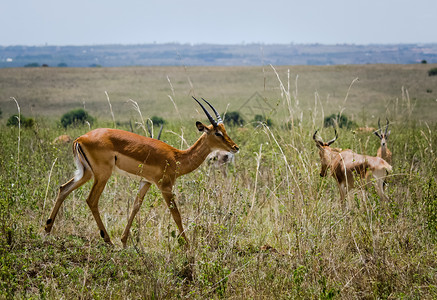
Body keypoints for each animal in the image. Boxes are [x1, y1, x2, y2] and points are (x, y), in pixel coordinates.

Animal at [45, 97, 238, 247]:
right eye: (217, 133)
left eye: (225, 130)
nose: (235, 147)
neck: (177, 156)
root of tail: (80, 138)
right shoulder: (165, 186)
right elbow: (176, 214)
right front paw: (188, 246)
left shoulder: (146, 182)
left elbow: (135, 207)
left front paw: (124, 241)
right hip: (102, 175)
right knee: (91, 200)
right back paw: (107, 239)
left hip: (86, 173)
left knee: (63, 188)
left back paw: (47, 229)